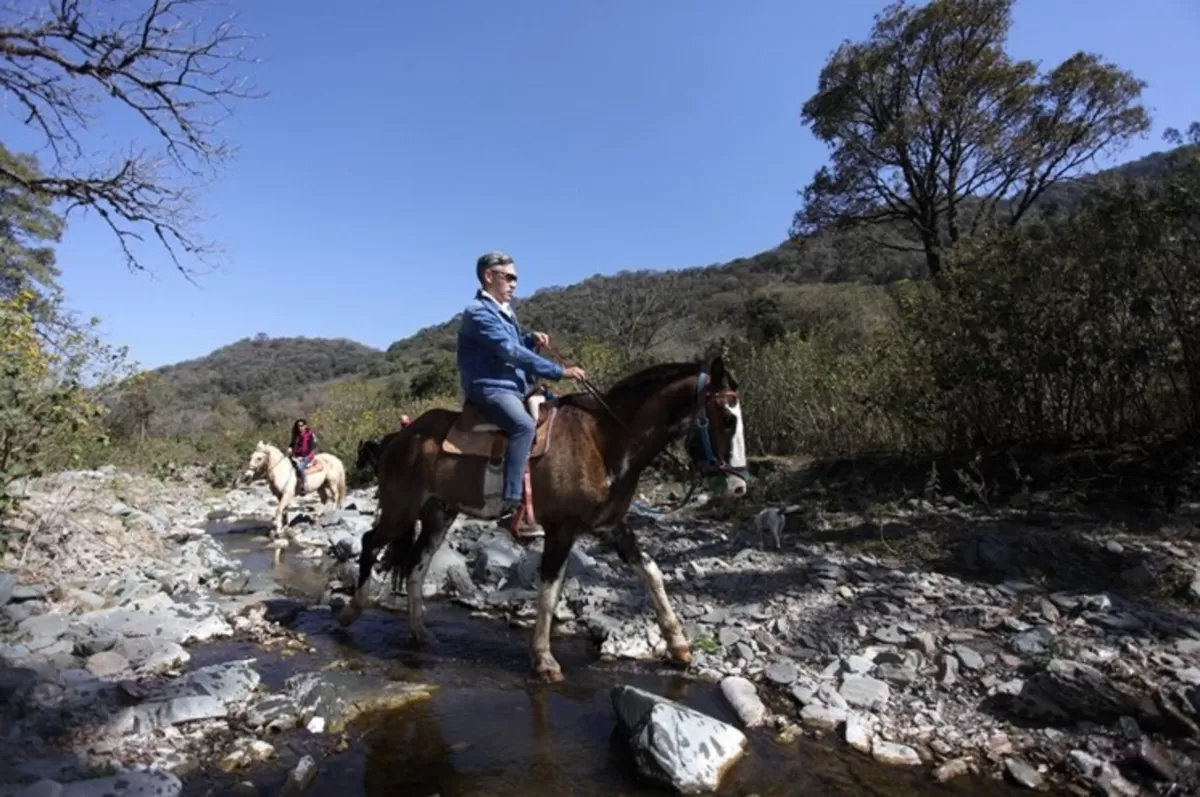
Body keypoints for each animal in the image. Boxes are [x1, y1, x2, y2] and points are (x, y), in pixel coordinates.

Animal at [338, 357, 748, 681]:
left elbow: (650, 572)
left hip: (439, 515)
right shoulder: (561, 529)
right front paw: (544, 659)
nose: (739, 486)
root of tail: (399, 438)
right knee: (370, 542)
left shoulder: (611, 526)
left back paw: (420, 633)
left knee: (416, 567)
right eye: (727, 419)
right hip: (401, 509)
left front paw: (679, 646)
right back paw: (351, 613)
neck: (605, 442)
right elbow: (549, 591)